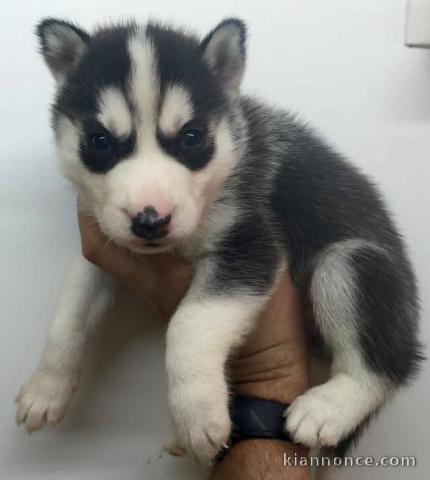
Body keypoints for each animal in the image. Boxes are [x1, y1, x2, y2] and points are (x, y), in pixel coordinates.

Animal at [15, 16, 420, 464]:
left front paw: (197, 415)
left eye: (191, 138)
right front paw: (45, 387)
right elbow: (68, 317)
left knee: (388, 363)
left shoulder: (251, 243)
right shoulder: (102, 249)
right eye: (99, 142)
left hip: (350, 261)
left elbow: (188, 326)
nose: (150, 221)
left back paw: (331, 407)